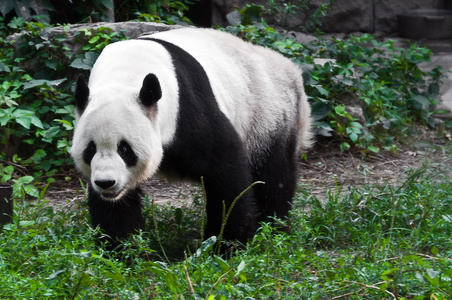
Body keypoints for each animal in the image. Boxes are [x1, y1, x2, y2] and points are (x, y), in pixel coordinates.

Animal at [70, 28, 312, 250]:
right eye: (90, 149)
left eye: (124, 149)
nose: (106, 183)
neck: (125, 74)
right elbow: (115, 207)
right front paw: (123, 249)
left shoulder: (188, 110)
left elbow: (225, 172)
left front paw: (225, 244)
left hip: (267, 114)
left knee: (273, 174)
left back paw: (272, 227)